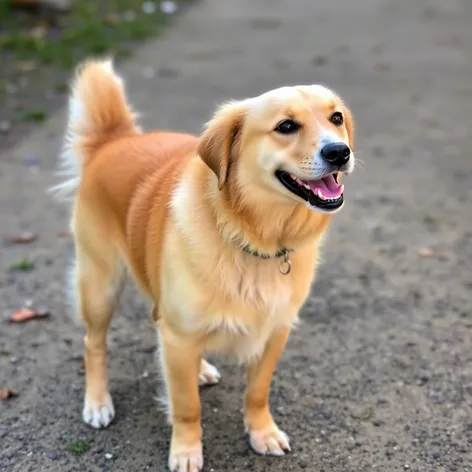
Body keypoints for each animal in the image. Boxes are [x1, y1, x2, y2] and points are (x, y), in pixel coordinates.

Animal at [52, 60, 354, 472]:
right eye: (286, 126)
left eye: (336, 118)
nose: (340, 152)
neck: (252, 236)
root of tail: (113, 140)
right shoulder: (179, 338)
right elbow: (187, 407)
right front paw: (185, 451)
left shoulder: (275, 331)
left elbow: (257, 392)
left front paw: (263, 432)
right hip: (101, 284)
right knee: (92, 343)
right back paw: (98, 402)